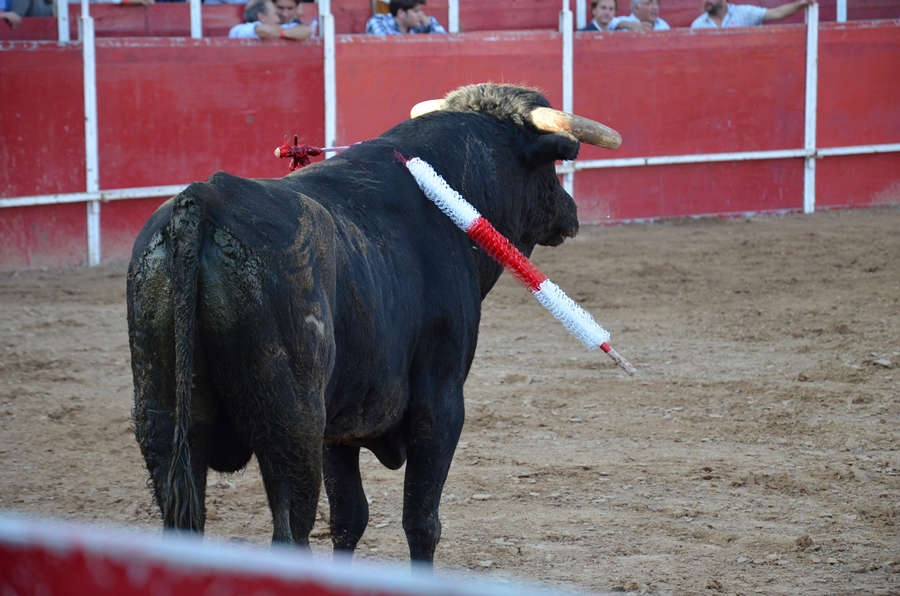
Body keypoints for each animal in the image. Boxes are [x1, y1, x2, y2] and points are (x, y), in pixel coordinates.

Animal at [128, 82, 620, 564]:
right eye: (550, 166)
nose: (571, 212)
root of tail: (204, 201)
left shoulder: (338, 423)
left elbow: (349, 518)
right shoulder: (440, 403)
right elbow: (421, 520)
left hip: (161, 418)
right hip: (289, 427)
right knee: (290, 533)